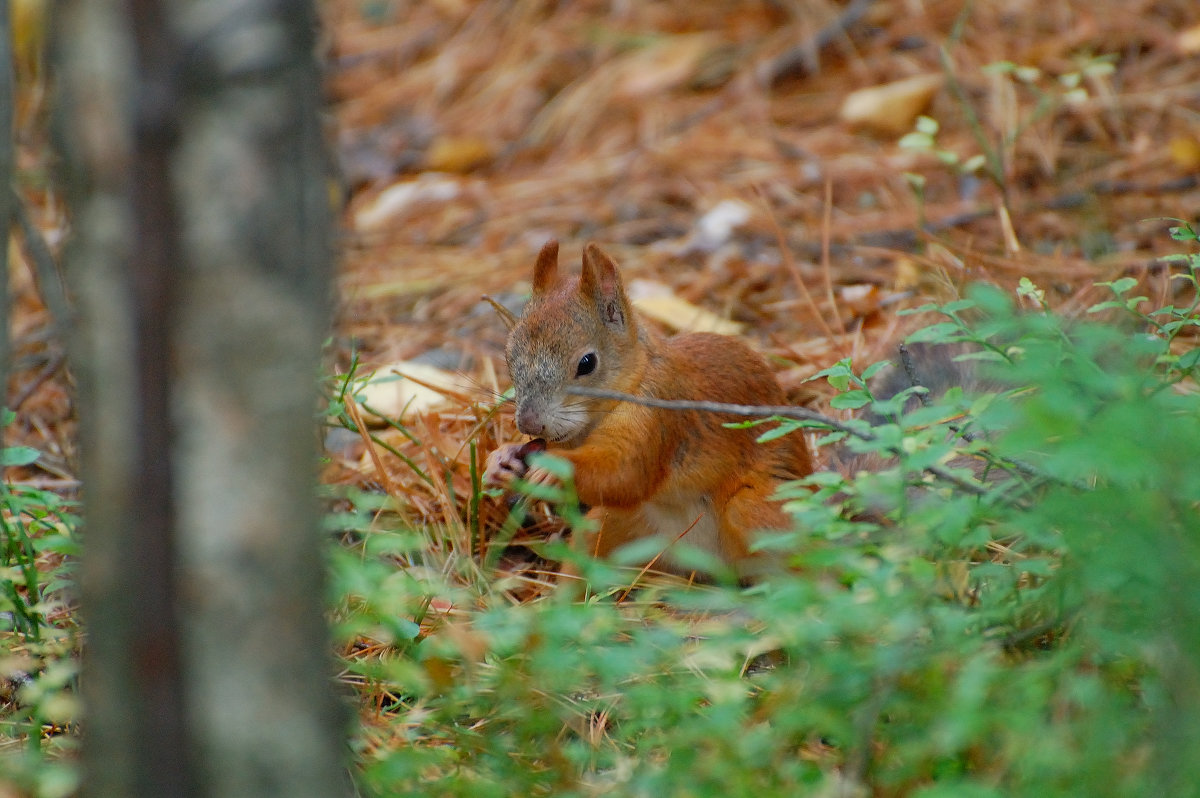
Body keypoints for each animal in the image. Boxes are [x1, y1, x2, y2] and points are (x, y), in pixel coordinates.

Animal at [482, 240, 811, 576]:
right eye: (509, 355)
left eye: (587, 363)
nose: (529, 424)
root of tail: (707, 567)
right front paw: (501, 460)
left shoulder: (659, 416)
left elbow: (625, 472)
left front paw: (554, 468)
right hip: (614, 526)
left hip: (757, 510)